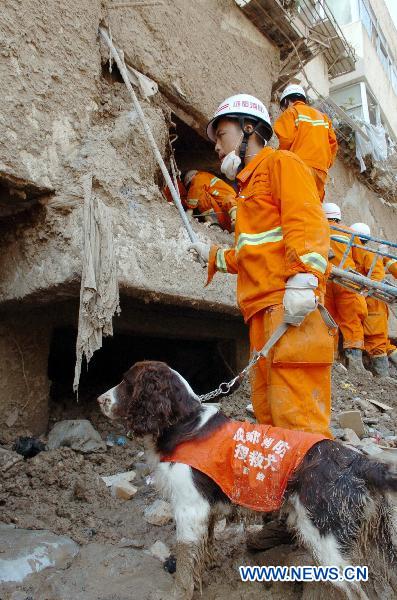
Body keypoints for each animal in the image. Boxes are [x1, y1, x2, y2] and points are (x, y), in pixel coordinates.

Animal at [97, 360, 396, 600]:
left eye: (127, 382)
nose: (99, 399)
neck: (184, 425)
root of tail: (359, 461)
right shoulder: (204, 509)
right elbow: (203, 545)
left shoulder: (189, 506)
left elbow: (184, 560)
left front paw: (175, 594)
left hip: (326, 537)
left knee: (356, 591)